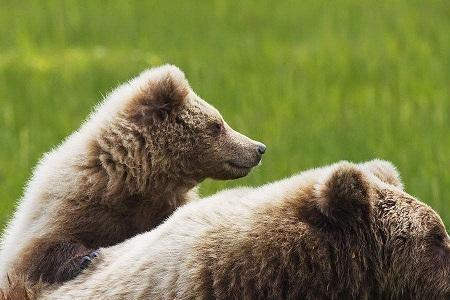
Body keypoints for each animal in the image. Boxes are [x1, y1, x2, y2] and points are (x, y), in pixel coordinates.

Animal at [0, 63, 268, 296]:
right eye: (217, 125)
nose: (259, 148)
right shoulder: (72, 204)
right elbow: (39, 251)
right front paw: (86, 257)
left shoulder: (163, 207)